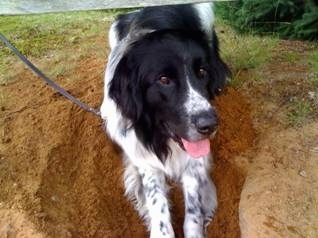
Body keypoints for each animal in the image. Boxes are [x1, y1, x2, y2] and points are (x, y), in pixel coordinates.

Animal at [100, 2, 230, 238]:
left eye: (202, 71)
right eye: (163, 80)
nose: (209, 125)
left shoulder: (196, 159)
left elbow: (193, 205)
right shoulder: (143, 157)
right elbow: (156, 201)